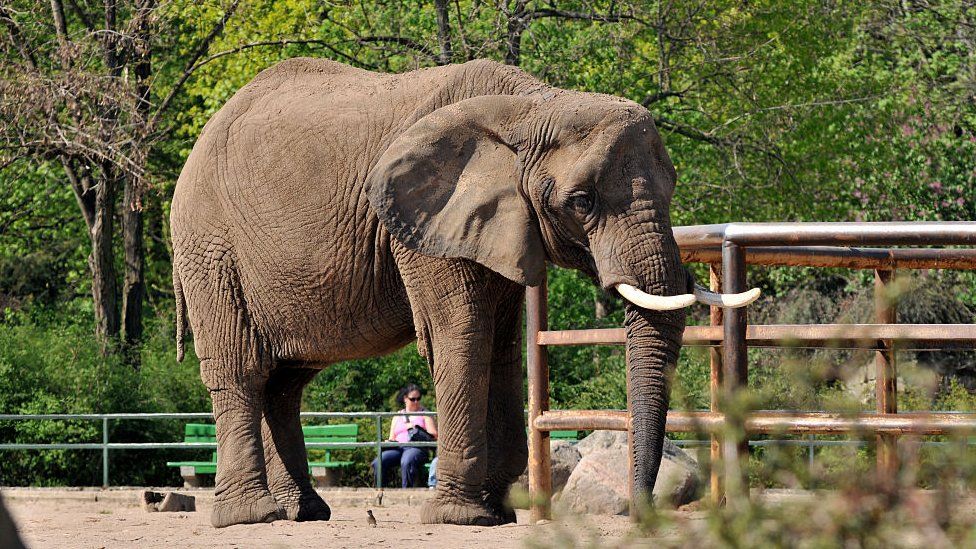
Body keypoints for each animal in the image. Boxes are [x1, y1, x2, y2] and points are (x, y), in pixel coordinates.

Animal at [170, 57, 756, 528]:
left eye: (673, 185)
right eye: (582, 201)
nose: (641, 514)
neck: (530, 106)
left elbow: (502, 345)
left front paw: (498, 514)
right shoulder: (423, 224)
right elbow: (462, 336)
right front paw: (462, 517)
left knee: (286, 382)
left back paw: (304, 512)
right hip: (209, 248)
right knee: (241, 369)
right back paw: (250, 516)